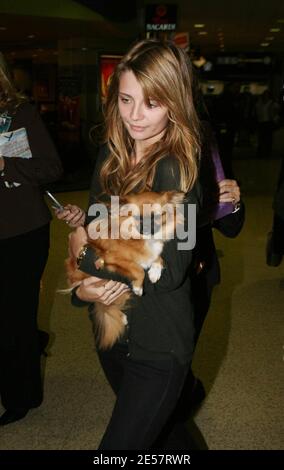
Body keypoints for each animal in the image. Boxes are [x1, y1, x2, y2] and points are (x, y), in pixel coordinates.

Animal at [65, 189, 184, 346]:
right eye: (137, 217)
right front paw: (139, 287)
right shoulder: (112, 259)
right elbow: (138, 270)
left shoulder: (152, 253)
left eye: (157, 216)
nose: (147, 227)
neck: (141, 240)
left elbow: (158, 259)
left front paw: (154, 272)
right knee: (105, 305)